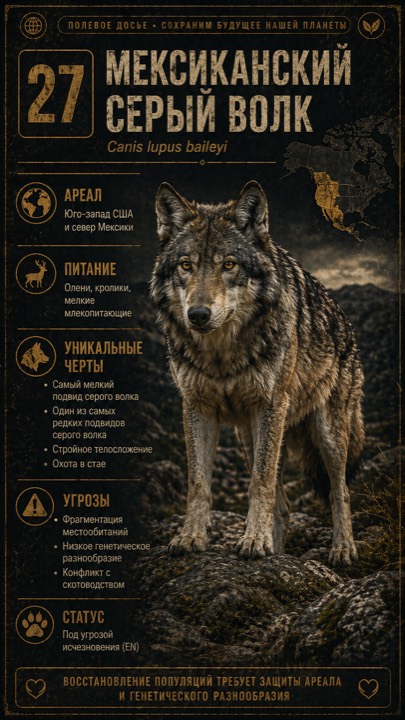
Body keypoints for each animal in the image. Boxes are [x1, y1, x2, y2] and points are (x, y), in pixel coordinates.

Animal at [150, 180, 364, 567]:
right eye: (186, 265)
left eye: (229, 264)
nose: (198, 315)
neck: (221, 355)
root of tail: (346, 324)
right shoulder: (196, 407)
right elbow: (199, 483)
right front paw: (191, 538)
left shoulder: (269, 406)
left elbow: (258, 484)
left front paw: (254, 541)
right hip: (248, 435)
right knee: (284, 504)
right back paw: (275, 551)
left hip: (327, 435)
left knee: (339, 491)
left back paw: (342, 549)